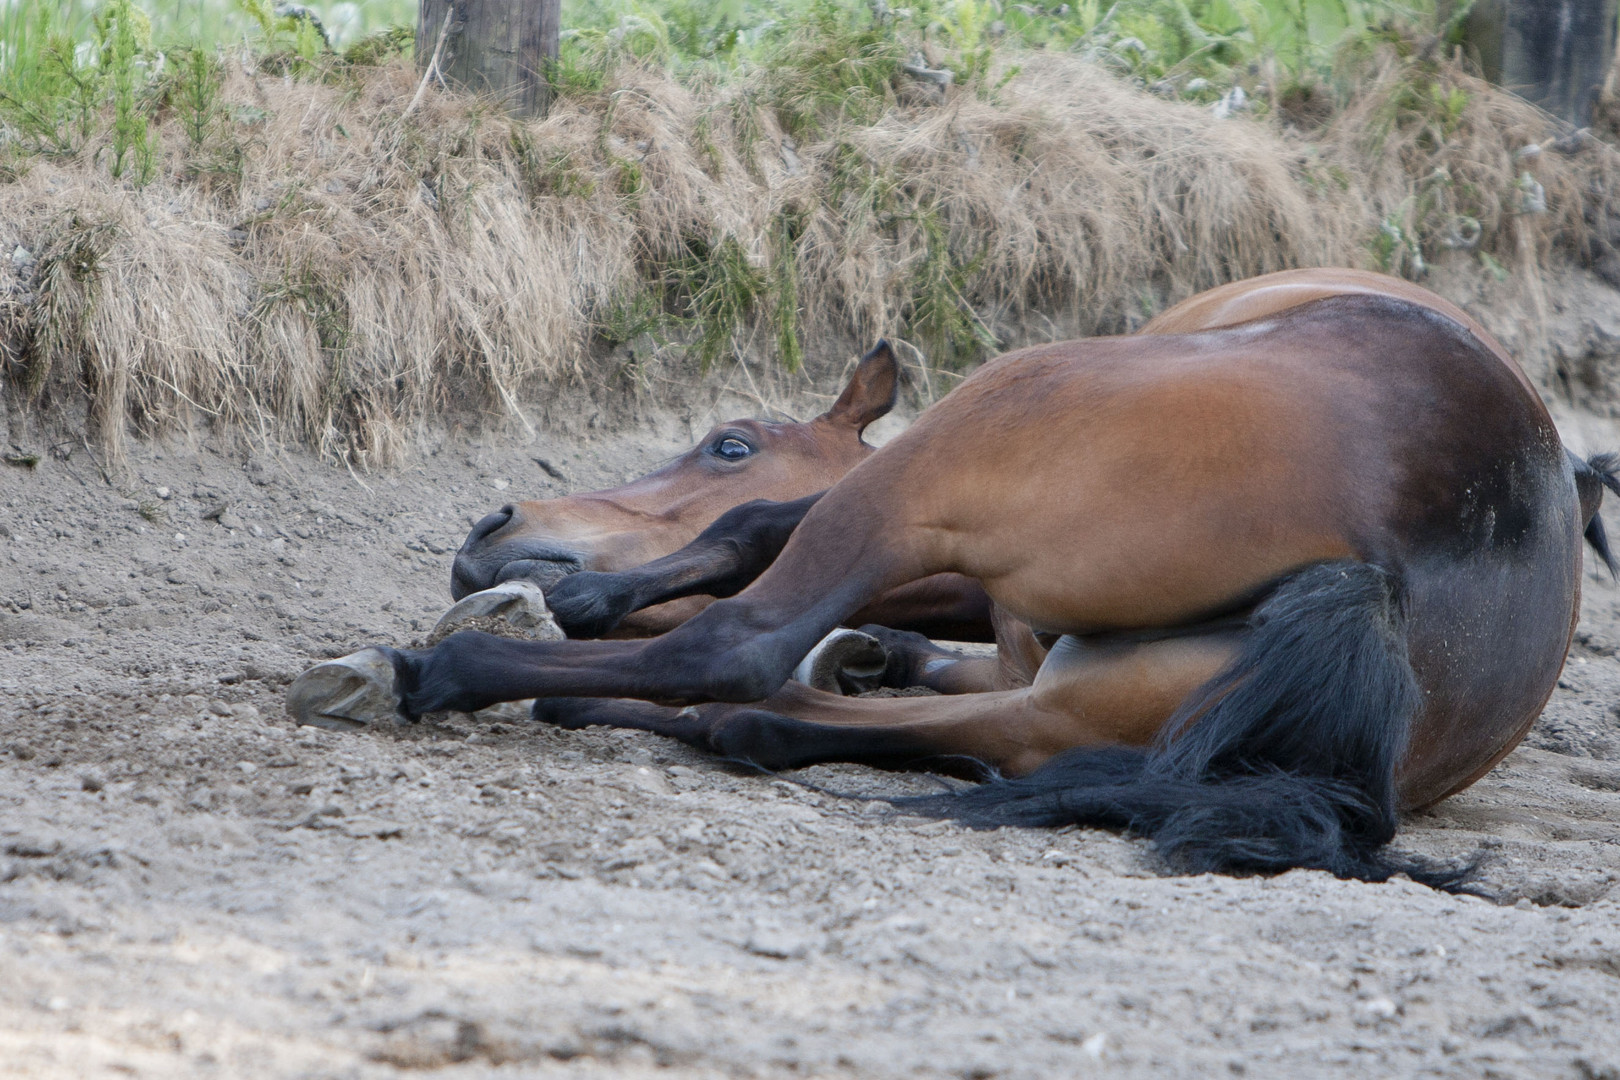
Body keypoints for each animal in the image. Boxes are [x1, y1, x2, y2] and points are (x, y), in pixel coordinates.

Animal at [285, 270, 1613, 887]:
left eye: (728, 439)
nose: (492, 522)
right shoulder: (1014, 625)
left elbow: (751, 534)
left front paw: (562, 604)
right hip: (1070, 710)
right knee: (767, 719)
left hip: (959, 448)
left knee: (742, 653)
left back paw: (437, 669)